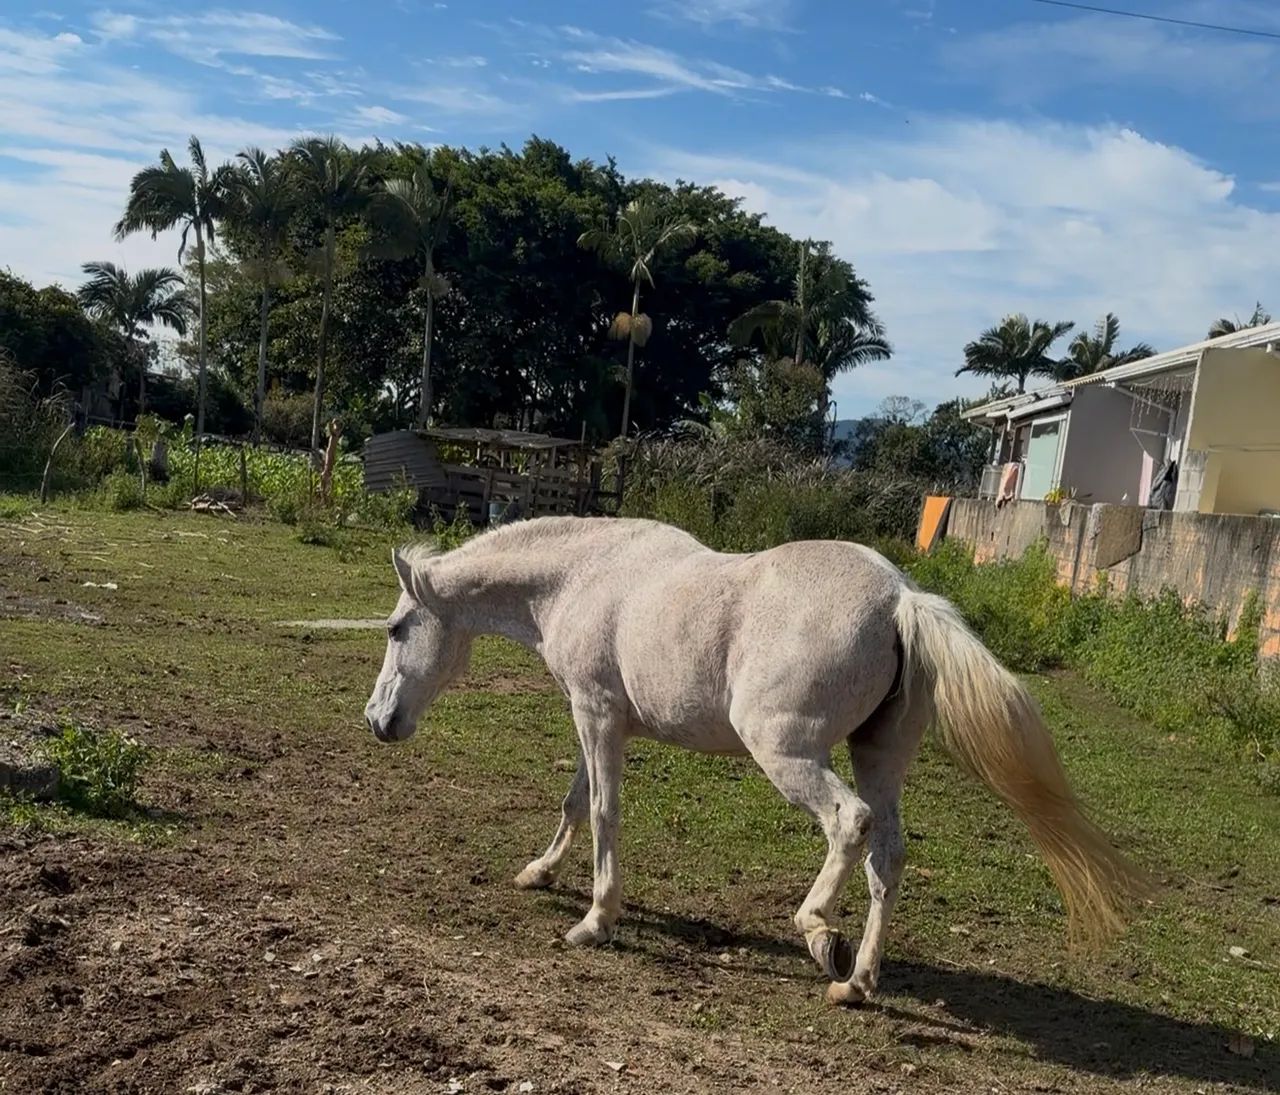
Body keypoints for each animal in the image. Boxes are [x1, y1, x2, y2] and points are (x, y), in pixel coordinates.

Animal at [364, 516, 1145, 1004]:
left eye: (399, 627)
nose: (377, 722)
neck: (581, 574)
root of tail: (901, 597)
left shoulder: (595, 712)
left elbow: (604, 811)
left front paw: (595, 920)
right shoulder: (603, 720)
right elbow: (576, 801)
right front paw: (538, 873)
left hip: (785, 751)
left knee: (850, 823)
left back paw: (819, 931)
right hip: (878, 755)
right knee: (887, 855)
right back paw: (855, 983)